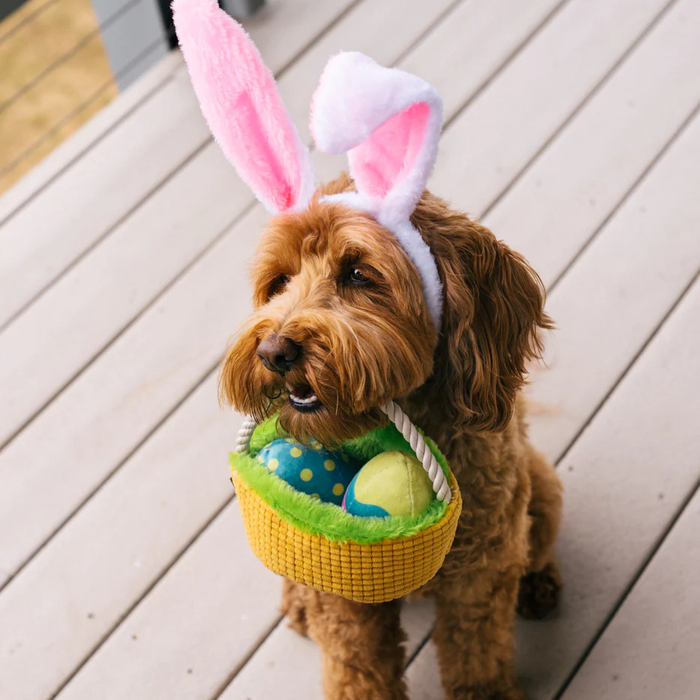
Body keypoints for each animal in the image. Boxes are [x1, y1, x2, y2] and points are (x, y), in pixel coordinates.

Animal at [221, 171, 568, 700]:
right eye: (279, 282)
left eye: (359, 274)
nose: (273, 352)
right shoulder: (345, 598)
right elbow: (357, 669)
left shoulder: (478, 578)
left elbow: (478, 655)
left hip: (540, 488)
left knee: (538, 541)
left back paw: (539, 582)